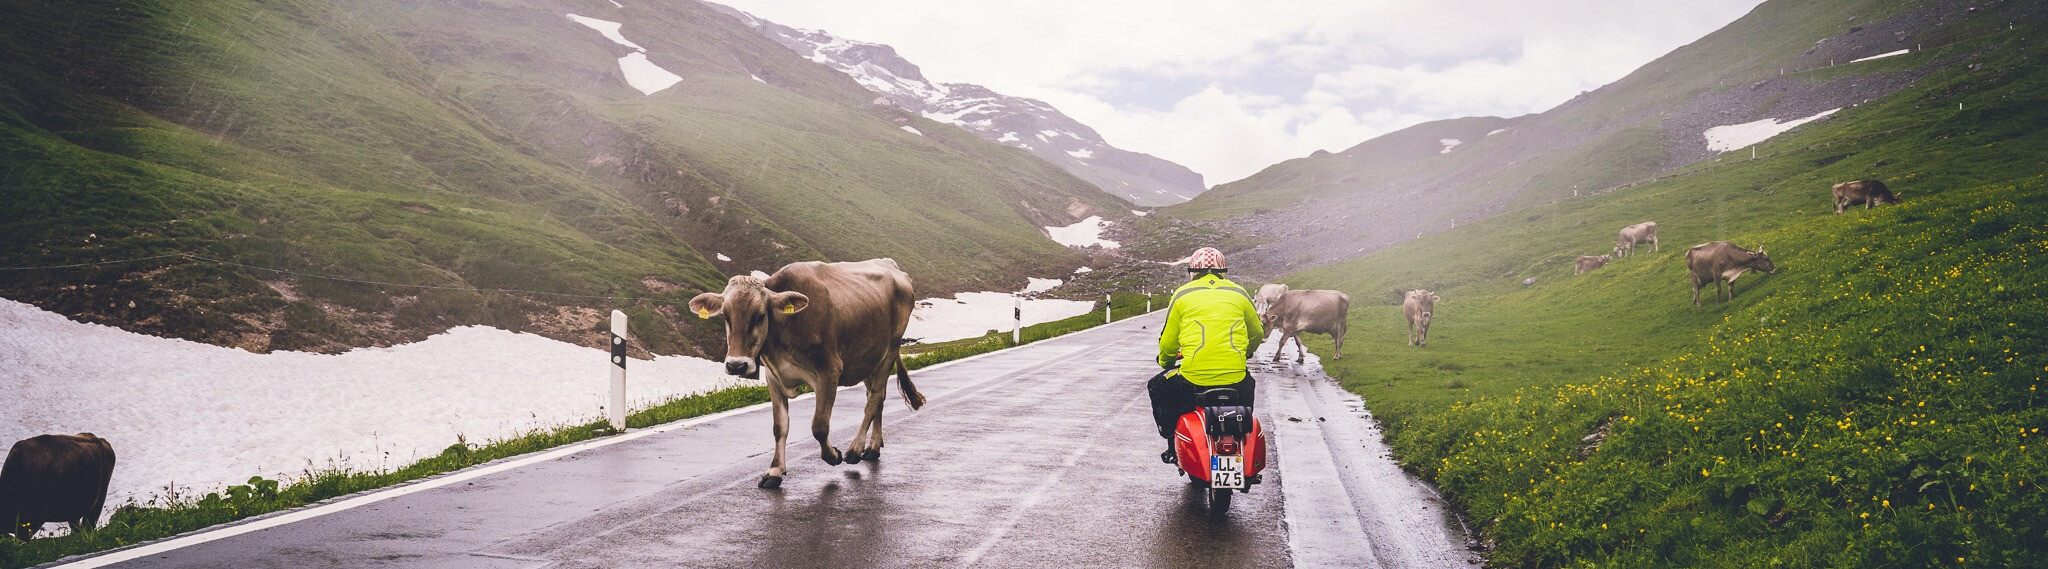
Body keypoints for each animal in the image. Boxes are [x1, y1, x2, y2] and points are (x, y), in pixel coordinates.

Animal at [688, 259, 929, 487]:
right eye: (725, 316)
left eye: (760, 315)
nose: (737, 365)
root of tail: (892, 265)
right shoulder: (774, 377)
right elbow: (779, 427)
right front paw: (774, 471)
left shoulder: (830, 370)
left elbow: (819, 426)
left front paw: (833, 455)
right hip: (869, 358)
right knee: (877, 398)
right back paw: (873, 447)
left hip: (890, 349)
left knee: (874, 400)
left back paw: (855, 450)